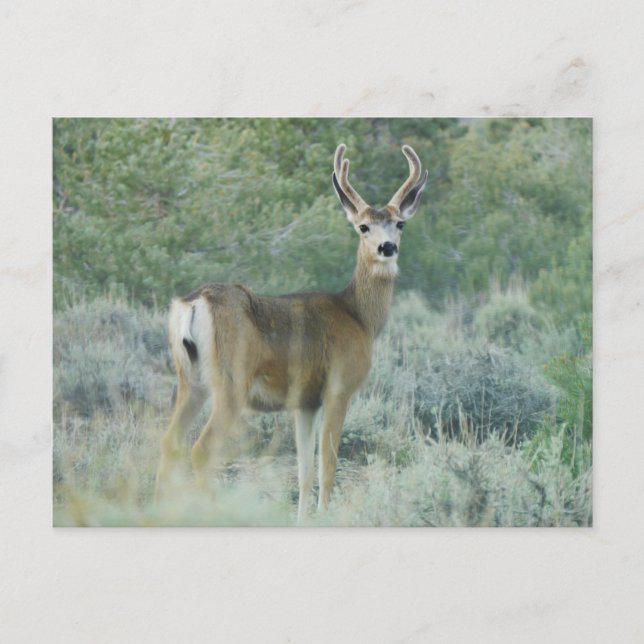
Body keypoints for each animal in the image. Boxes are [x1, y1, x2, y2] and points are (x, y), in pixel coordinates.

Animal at [155, 143, 428, 521]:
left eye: (399, 223)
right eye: (363, 227)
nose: (387, 247)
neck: (360, 316)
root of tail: (194, 302)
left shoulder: (305, 402)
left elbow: (304, 471)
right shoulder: (338, 388)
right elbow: (328, 467)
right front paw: (326, 517)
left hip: (189, 379)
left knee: (169, 442)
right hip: (231, 381)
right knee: (200, 449)